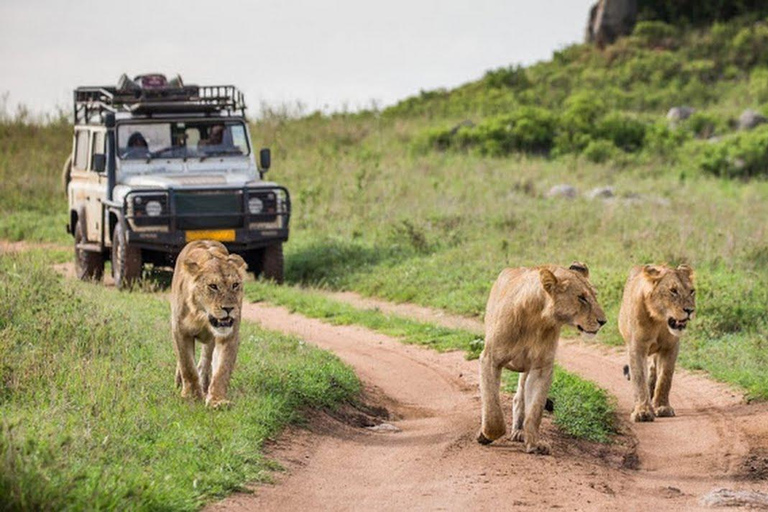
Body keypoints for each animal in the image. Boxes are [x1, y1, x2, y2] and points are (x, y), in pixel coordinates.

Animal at [170, 240, 246, 408]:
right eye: (213, 286)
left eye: (235, 285)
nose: (229, 308)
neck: (202, 316)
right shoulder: (180, 331)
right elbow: (187, 365)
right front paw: (191, 396)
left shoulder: (229, 335)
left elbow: (222, 369)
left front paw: (217, 401)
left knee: (205, 361)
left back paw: (204, 385)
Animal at [474, 262, 608, 454]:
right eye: (582, 298)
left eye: (594, 296)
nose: (603, 321)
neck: (538, 319)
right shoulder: (490, 359)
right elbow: (493, 410)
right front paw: (485, 435)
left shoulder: (541, 367)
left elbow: (535, 411)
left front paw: (535, 444)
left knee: (520, 397)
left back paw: (519, 432)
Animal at [616, 262, 696, 422]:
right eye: (673, 291)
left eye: (692, 291)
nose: (690, 310)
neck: (659, 320)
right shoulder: (637, 347)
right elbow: (639, 378)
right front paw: (642, 411)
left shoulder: (671, 347)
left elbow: (665, 377)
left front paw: (662, 407)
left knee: (653, 371)